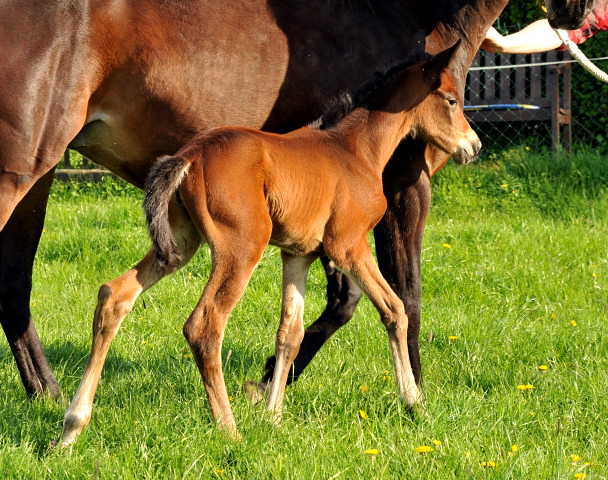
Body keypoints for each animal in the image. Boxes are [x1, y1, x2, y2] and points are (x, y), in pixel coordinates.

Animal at [60, 43, 480, 444]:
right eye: (451, 100)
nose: (473, 146)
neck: (355, 151)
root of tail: (189, 157)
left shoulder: (298, 255)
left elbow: (289, 334)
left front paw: (273, 417)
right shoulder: (348, 246)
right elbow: (394, 310)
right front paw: (414, 404)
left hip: (180, 242)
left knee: (114, 295)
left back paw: (71, 429)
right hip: (242, 247)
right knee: (204, 326)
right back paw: (229, 431)